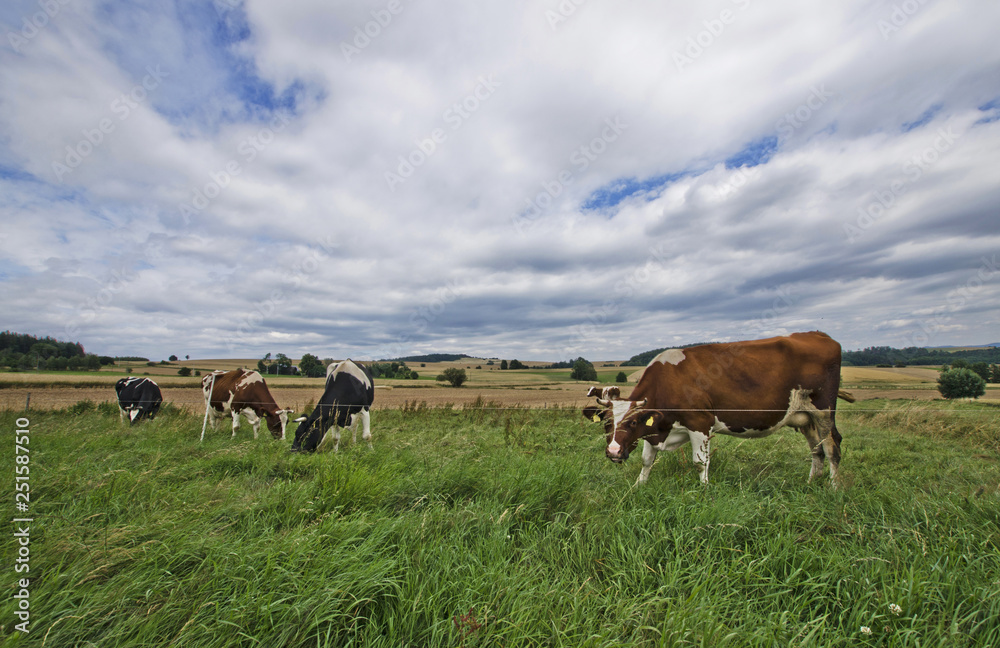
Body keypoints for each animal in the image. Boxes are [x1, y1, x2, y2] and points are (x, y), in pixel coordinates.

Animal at [588, 334, 856, 486]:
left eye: (632, 423)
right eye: (608, 424)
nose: (613, 452)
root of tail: (819, 334)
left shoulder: (700, 423)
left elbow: (700, 462)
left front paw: (704, 490)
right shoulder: (657, 428)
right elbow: (647, 460)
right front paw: (639, 486)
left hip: (823, 410)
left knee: (832, 446)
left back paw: (834, 487)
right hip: (805, 416)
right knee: (816, 449)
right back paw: (811, 483)